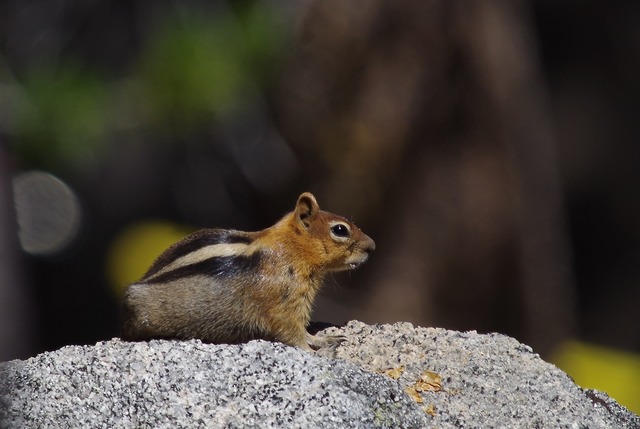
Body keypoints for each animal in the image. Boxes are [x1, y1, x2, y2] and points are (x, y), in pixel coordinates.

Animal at [121, 192, 376, 350]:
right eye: (340, 230)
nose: (372, 246)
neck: (290, 248)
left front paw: (323, 339)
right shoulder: (285, 303)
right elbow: (292, 332)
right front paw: (315, 349)